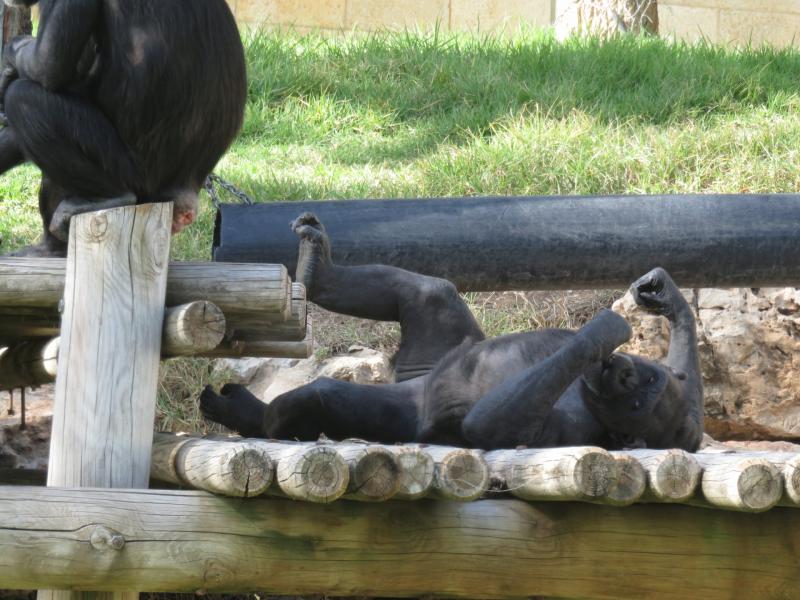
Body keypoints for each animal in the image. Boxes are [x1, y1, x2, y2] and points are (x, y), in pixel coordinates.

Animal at [202, 213, 708, 452]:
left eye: (640, 402)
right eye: (647, 378)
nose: (624, 373)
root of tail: (409, 376)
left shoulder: (573, 429)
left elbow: (486, 427)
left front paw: (604, 329)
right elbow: (688, 376)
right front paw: (666, 297)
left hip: (404, 399)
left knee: (325, 397)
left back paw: (252, 416)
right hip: (443, 346)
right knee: (430, 290)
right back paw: (317, 266)